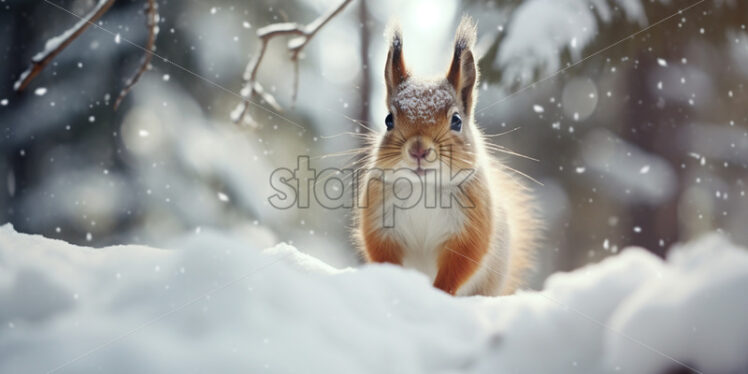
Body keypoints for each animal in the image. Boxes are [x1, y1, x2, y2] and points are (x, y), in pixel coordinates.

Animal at [356, 16, 536, 298]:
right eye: (388, 120)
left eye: (457, 121)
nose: (419, 149)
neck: (424, 188)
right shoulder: (380, 221)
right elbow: (384, 255)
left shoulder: (470, 228)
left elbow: (460, 264)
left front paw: (439, 293)